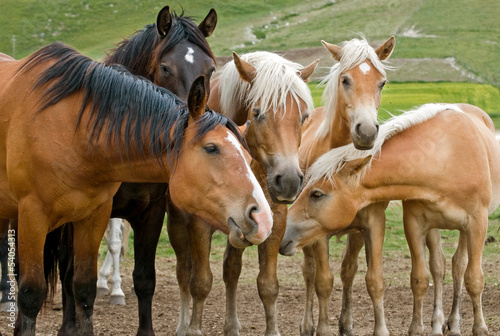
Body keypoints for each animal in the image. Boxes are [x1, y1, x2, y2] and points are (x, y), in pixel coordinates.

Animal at [0, 42, 274, 336]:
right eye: (212, 148)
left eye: (248, 157)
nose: (263, 218)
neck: (71, 131)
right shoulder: (33, 217)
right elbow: (31, 294)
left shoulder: (94, 217)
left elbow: (84, 288)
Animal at [166, 51, 316, 334]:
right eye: (257, 113)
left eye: (303, 117)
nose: (289, 181)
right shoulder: (199, 223)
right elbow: (200, 283)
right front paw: (192, 328)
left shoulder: (270, 220)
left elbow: (267, 286)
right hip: (179, 225)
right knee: (183, 271)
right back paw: (181, 325)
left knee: (231, 270)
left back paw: (232, 325)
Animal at [282, 103, 500, 336]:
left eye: (317, 194)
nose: (285, 231)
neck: (446, 157)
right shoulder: (414, 223)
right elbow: (420, 278)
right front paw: (416, 328)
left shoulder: (477, 223)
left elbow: (474, 279)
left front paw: (480, 328)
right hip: (433, 228)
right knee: (439, 266)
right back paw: (438, 323)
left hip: (464, 230)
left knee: (458, 266)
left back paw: (454, 324)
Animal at [294, 36, 396, 336]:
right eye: (345, 80)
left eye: (381, 82)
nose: (367, 131)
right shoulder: (317, 229)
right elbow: (323, 281)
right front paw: (321, 328)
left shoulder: (373, 223)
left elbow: (373, 279)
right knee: (310, 271)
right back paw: (307, 324)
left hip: (355, 233)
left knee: (348, 269)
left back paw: (346, 323)